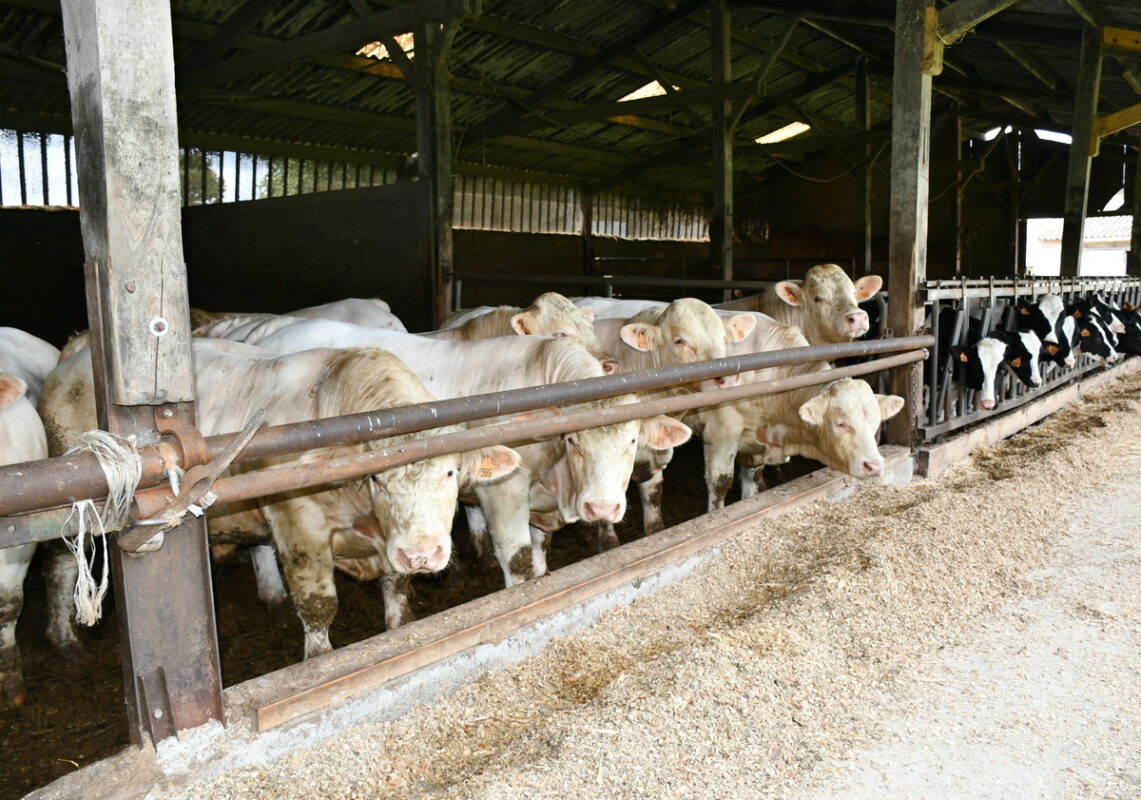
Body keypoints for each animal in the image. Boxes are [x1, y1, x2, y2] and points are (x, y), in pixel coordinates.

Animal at [35, 340, 518, 657]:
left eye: (450, 472)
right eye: (377, 479)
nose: (421, 554)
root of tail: (71, 358)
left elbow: (397, 592)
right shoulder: (297, 520)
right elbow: (318, 605)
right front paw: (318, 661)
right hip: (69, 510)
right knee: (59, 565)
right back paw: (64, 640)